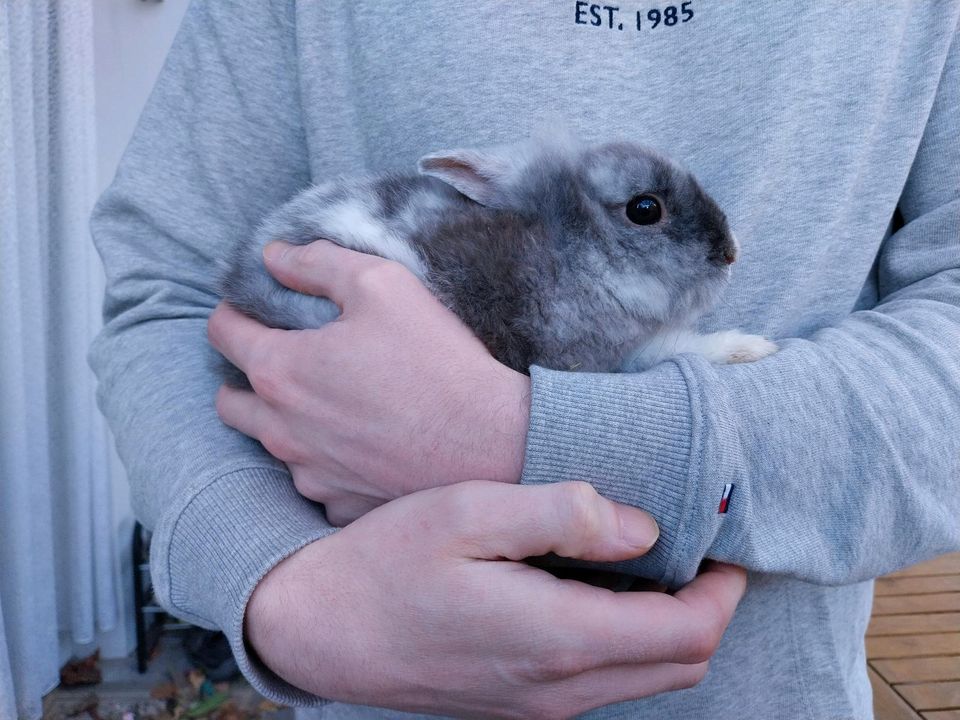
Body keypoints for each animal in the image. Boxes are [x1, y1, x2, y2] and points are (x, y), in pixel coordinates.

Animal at [219, 134, 780, 382]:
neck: (574, 254)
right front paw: (750, 348)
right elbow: (673, 349)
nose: (730, 252)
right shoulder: (589, 357)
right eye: (646, 209)